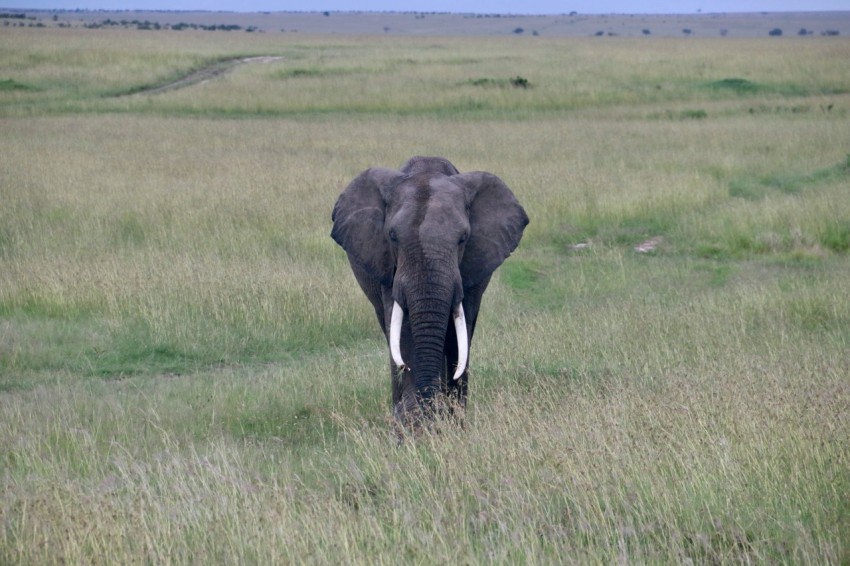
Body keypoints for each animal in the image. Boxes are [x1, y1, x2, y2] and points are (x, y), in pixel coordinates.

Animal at [330, 155, 524, 426]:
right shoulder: (388, 267)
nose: (430, 404)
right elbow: (402, 332)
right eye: (392, 236)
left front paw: (451, 420)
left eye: (463, 238)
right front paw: (413, 422)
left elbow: (458, 336)